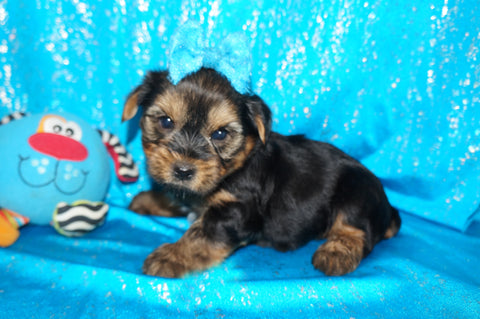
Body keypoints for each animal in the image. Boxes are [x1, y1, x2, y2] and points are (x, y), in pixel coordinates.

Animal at [122, 69, 400, 278]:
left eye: (220, 134)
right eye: (165, 122)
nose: (183, 170)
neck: (235, 167)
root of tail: (388, 209)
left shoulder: (237, 210)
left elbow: (201, 234)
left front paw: (171, 255)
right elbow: (182, 197)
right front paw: (149, 199)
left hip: (358, 189)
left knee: (354, 228)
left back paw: (335, 253)